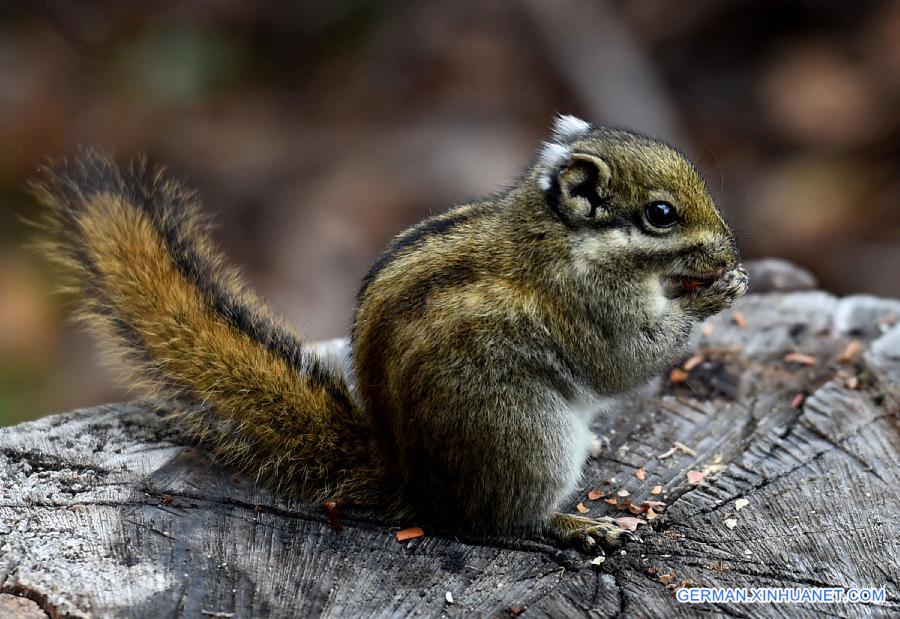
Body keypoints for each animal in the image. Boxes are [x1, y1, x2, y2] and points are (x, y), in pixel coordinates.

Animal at [29, 115, 744, 552]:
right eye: (660, 214)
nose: (729, 251)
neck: (561, 236)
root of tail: (410, 483)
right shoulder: (588, 306)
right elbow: (621, 364)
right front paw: (712, 293)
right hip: (527, 438)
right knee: (506, 519)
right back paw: (573, 523)